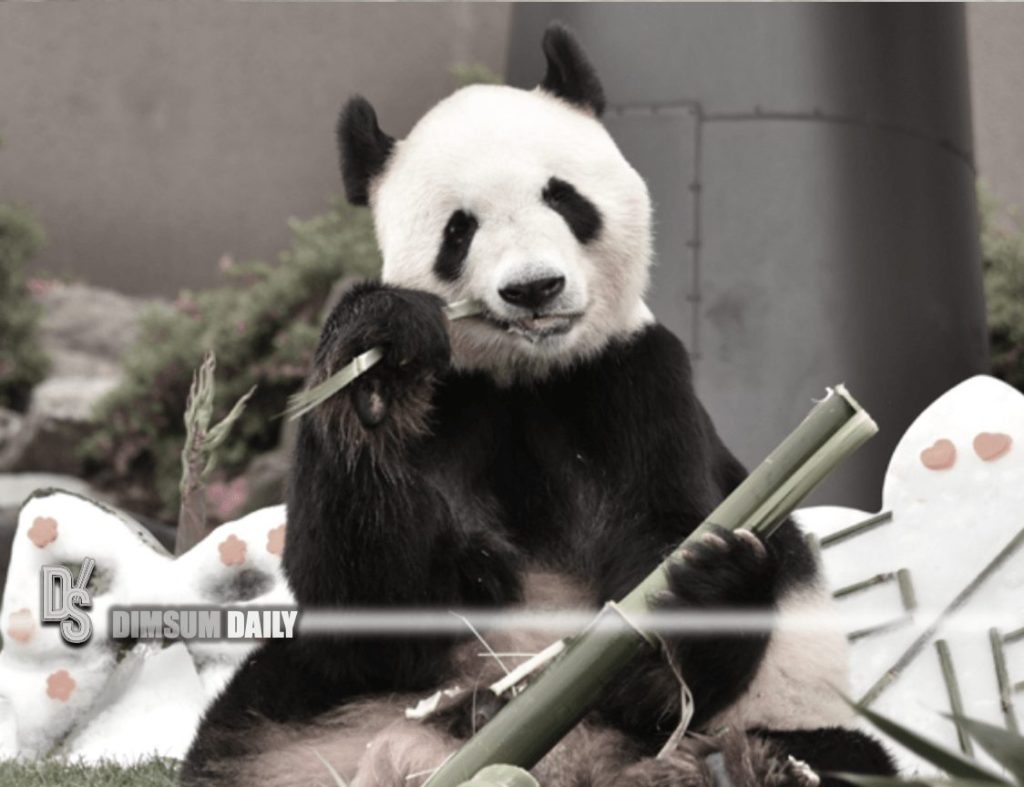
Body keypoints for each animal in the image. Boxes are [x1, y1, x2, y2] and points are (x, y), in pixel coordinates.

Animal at [184, 24, 898, 787]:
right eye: (459, 230)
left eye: (563, 197)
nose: (534, 288)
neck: (528, 377)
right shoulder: (453, 408)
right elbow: (368, 611)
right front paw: (377, 371)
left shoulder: (636, 384)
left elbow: (670, 550)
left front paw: (695, 595)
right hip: (304, 714)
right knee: (249, 729)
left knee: (829, 753)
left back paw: (739, 764)